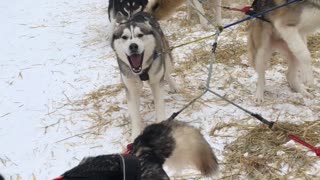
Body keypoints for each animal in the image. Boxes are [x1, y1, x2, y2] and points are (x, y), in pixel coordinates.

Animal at [112, 11, 178, 140]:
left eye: (140, 35)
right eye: (124, 37)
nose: (133, 46)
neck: (141, 71)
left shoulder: (156, 83)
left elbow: (159, 105)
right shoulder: (131, 88)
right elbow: (135, 115)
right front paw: (135, 136)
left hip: (166, 57)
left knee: (167, 70)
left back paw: (173, 85)